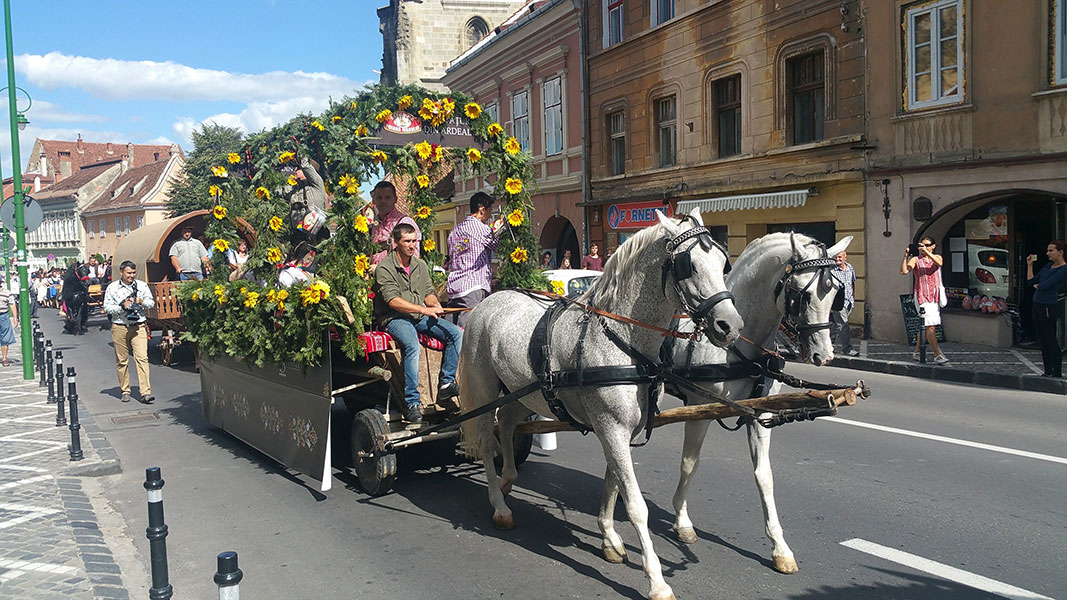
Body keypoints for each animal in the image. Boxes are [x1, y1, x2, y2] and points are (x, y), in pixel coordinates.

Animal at [458, 209, 742, 597]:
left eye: (722, 262)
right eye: (690, 266)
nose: (731, 326)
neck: (621, 338)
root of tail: (489, 301)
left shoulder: (621, 430)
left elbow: (612, 484)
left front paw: (609, 539)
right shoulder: (612, 427)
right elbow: (635, 505)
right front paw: (656, 579)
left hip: (525, 392)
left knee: (511, 422)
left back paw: (508, 479)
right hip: (485, 391)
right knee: (488, 441)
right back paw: (499, 506)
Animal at [593, 231, 849, 572]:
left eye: (834, 292)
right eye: (801, 295)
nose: (824, 354)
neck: (739, 347)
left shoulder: (760, 413)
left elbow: (764, 477)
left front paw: (779, 547)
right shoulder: (699, 409)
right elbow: (689, 464)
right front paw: (682, 522)